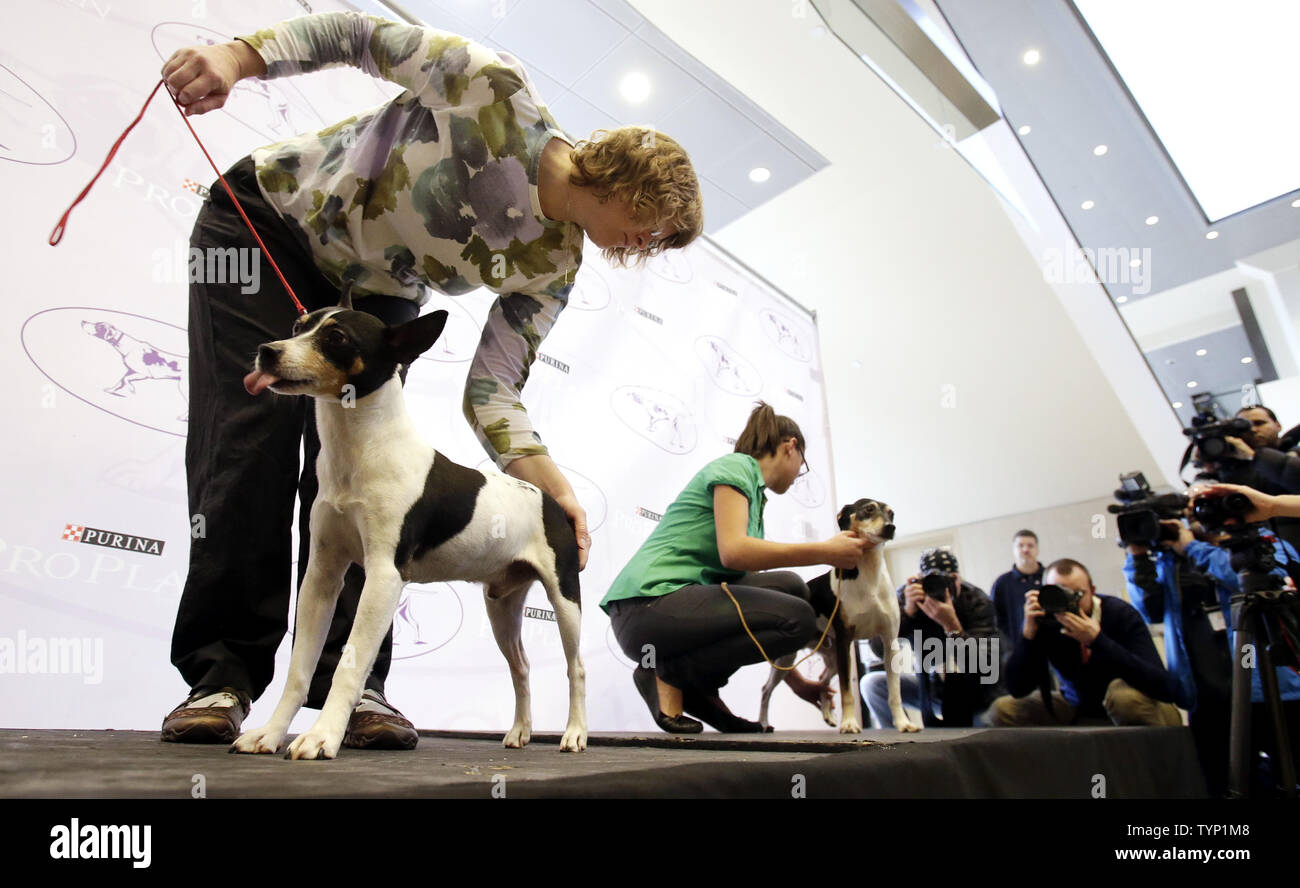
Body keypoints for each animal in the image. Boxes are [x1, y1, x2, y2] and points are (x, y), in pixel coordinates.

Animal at [231, 289, 587, 759]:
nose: (267, 351)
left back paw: (575, 733)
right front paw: (270, 734)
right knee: (522, 667)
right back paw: (520, 731)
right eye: (297, 326)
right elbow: (299, 668)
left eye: (337, 338)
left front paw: (323, 736)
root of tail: (550, 500)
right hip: (502, 605)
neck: (360, 452)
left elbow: (349, 664)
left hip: (565, 599)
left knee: (575, 668)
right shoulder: (322, 574)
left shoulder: (384, 575)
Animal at [759, 499, 920, 738]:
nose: (890, 527)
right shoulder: (845, 641)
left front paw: (903, 723)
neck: (869, 577)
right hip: (787, 660)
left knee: (821, 681)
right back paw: (763, 723)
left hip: (832, 658)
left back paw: (828, 715)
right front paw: (850, 723)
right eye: (868, 509)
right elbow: (847, 692)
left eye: (891, 514)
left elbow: (894, 694)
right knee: (765, 690)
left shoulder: (889, 642)